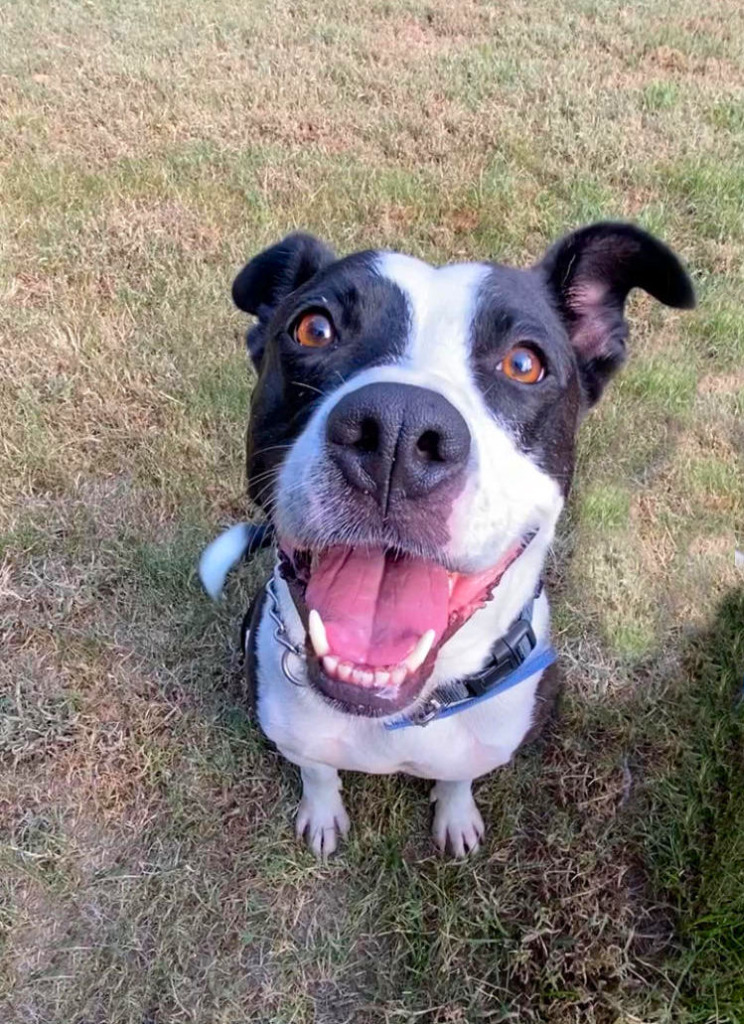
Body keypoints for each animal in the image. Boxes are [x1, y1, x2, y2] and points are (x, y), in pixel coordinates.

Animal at [200, 222, 695, 856]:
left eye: (524, 363)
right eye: (314, 327)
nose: (396, 431)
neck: (405, 712)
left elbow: (458, 778)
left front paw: (456, 817)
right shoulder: (294, 733)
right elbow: (318, 771)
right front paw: (323, 812)